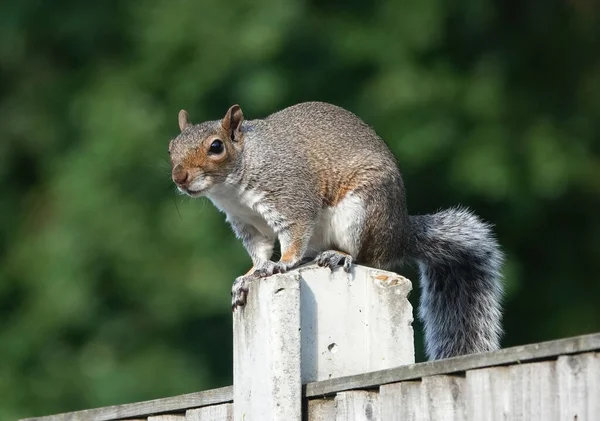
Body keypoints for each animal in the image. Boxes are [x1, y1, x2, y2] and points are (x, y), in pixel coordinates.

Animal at [166, 101, 504, 358]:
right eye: (171, 149)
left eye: (216, 146)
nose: (179, 177)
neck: (232, 188)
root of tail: (399, 233)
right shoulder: (247, 223)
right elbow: (259, 252)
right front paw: (249, 275)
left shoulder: (292, 198)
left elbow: (294, 235)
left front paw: (281, 263)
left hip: (361, 213)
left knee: (365, 255)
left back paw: (339, 255)